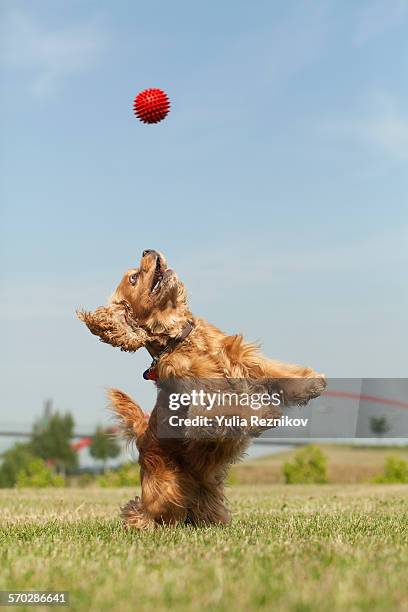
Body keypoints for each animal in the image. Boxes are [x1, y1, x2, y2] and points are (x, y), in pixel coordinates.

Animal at [75, 249, 326, 524]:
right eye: (133, 278)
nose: (147, 250)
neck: (181, 340)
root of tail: (142, 435)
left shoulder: (243, 359)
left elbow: (277, 372)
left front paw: (312, 383)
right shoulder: (202, 400)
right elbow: (231, 408)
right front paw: (263, 414)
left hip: (206, 486)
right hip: (165, 489)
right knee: (144, 509)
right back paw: (138, 522)